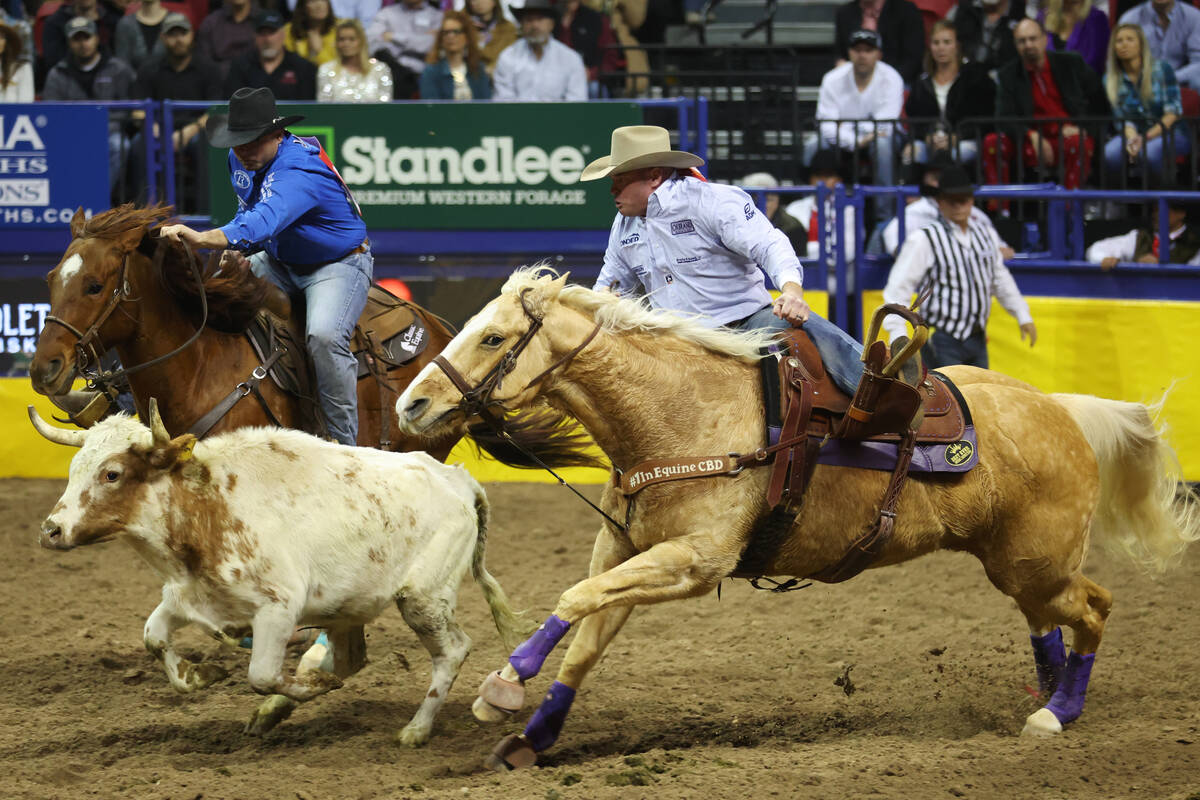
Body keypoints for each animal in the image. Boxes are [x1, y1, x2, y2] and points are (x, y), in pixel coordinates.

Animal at [396, 267, 1200, 767]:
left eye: (494, 337)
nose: (412, 404)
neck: (685, 415)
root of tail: (1062, 408)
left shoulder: (695, 562)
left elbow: (571, 600)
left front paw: (504, 685)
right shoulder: (626, 553)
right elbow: (587, 637)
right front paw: (531, 734)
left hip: (1038, 562)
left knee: (1095, 608)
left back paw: (1057, 712)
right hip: (1017, 563)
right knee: (1049, 619)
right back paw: (1047, 690)